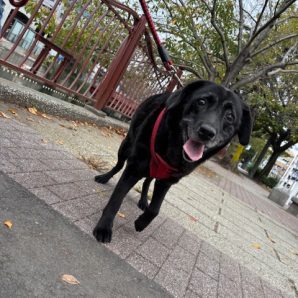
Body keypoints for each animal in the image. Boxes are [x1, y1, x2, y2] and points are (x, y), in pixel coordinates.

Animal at [93, 81, 251, 242]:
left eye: (230, 116)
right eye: (201, 102)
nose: (207, 132)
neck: (172, 150)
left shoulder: (167, 181)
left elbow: (155, 209)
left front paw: (141, 222)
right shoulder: (134, 168)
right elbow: (116, 200)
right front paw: (104, 228)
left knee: (147, 181)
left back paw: (143, 201)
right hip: (126, 146)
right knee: (119, 166)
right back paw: (104, 177)